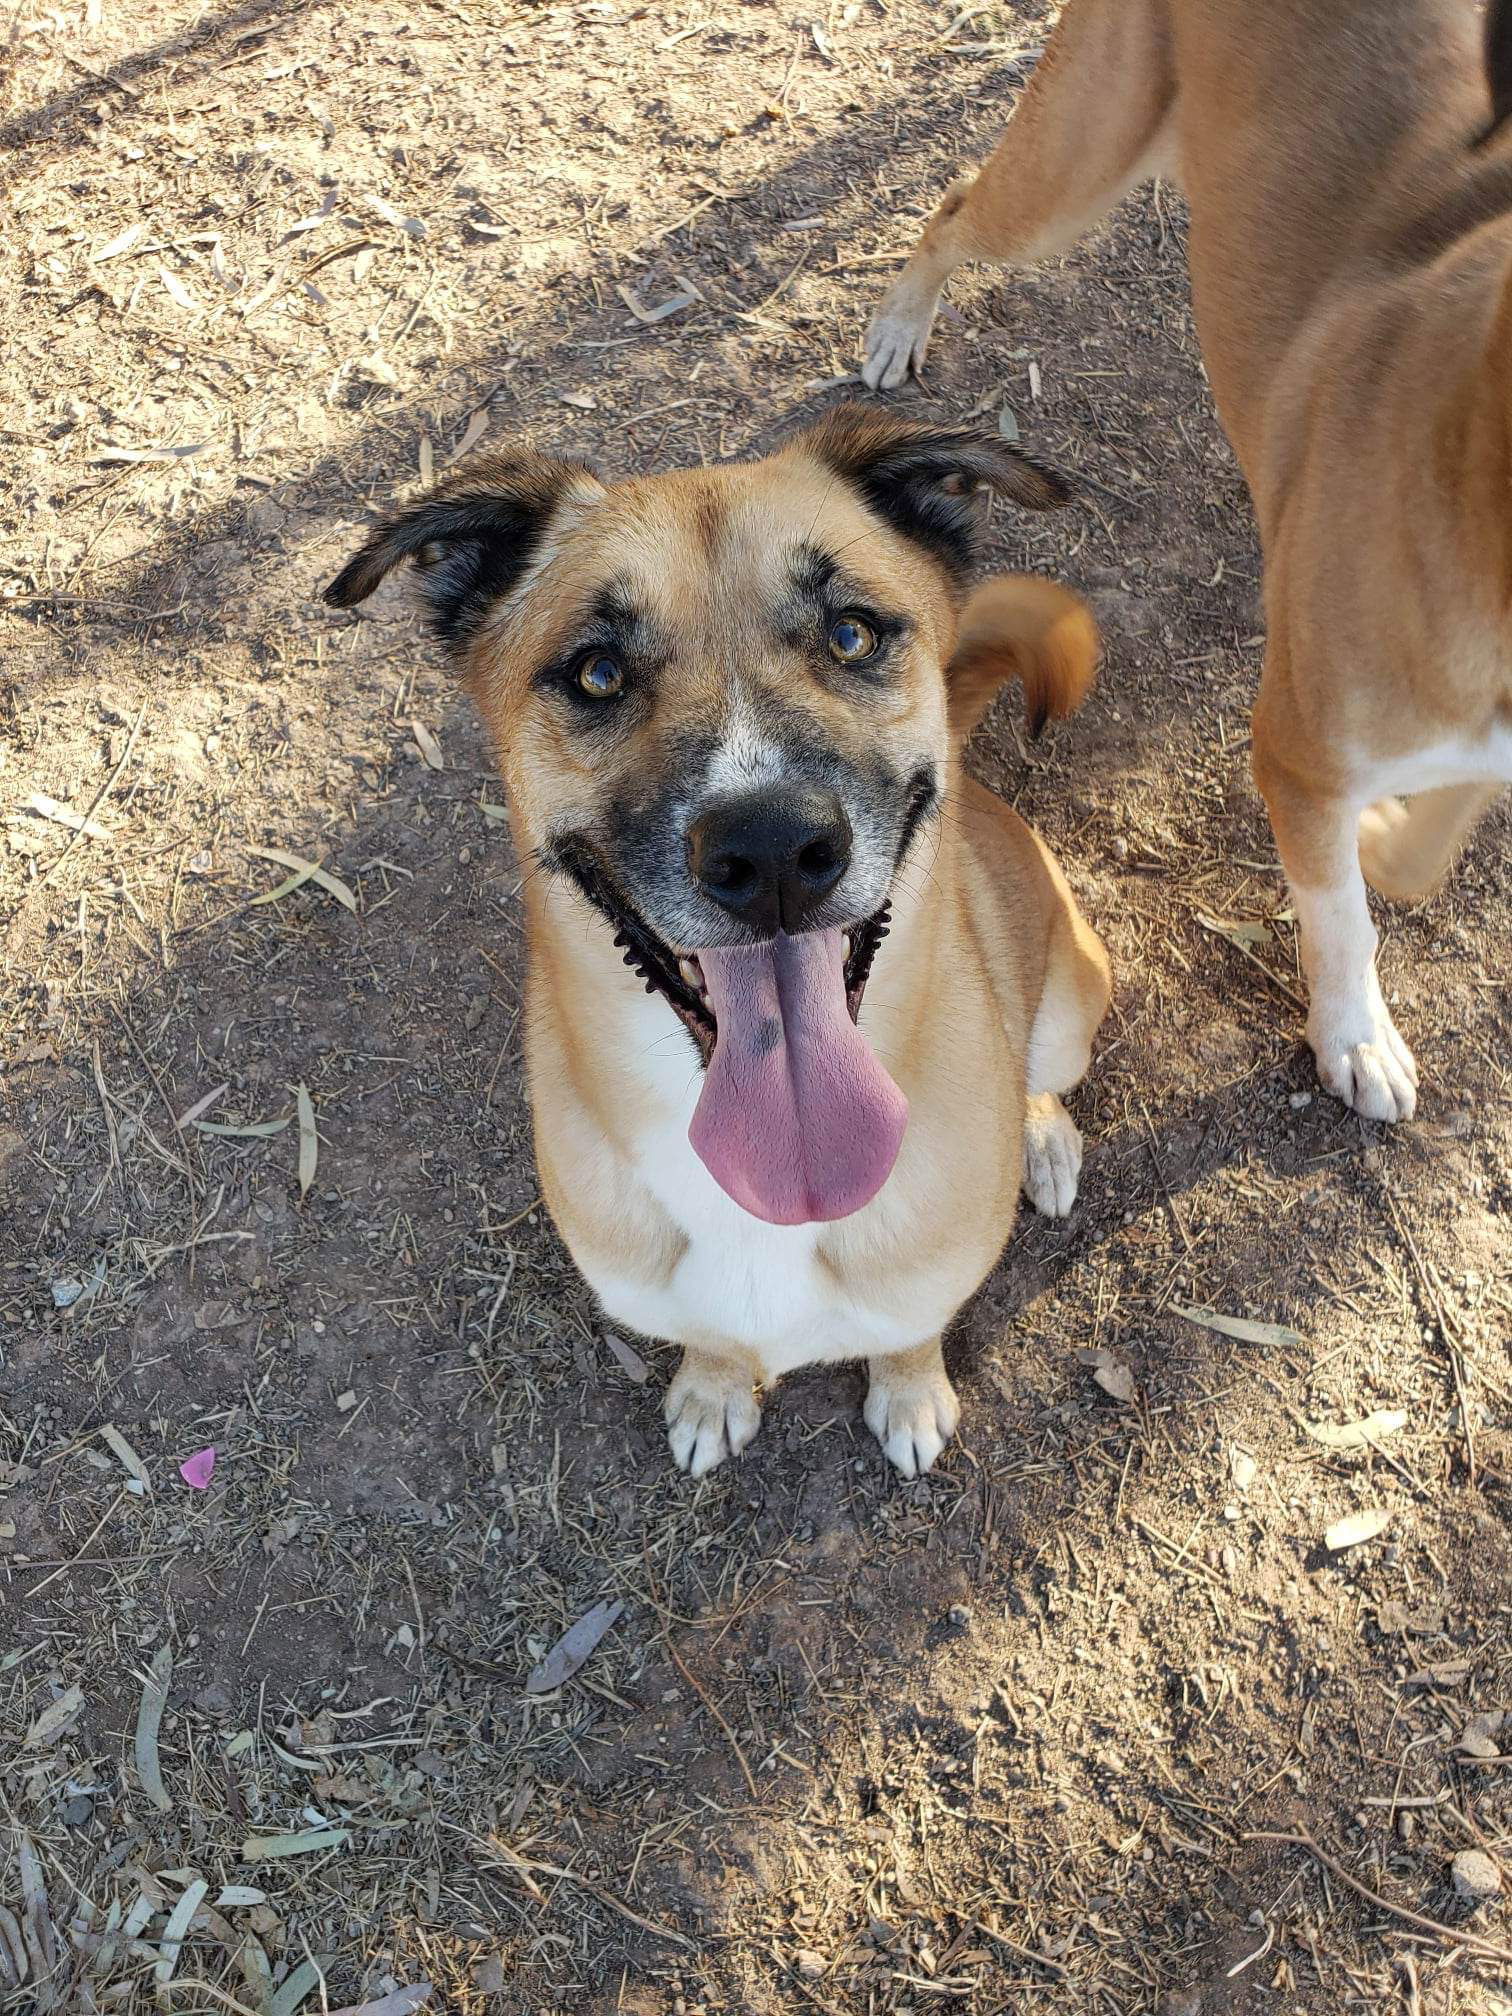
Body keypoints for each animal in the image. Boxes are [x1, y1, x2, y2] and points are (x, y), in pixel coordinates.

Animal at [328, 413, 1112, 1483]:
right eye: (598, 672)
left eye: (851, 633)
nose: (773, 850)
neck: (770, 1190)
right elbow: (709, 1340)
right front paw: (712, 1393)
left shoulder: (926, 1281)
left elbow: (910, 1333)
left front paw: (910, 1398)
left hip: (1072, 1005)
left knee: (1043, 1070)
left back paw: (1042, 1137)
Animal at [862, 0, 1512, 1120]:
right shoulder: (1297, 748)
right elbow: (1341, 913)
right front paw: (1354, 1034)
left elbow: (1420, 854)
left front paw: (1383, 834)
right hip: (1069, 172)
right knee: (954, 205)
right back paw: (900, 324)